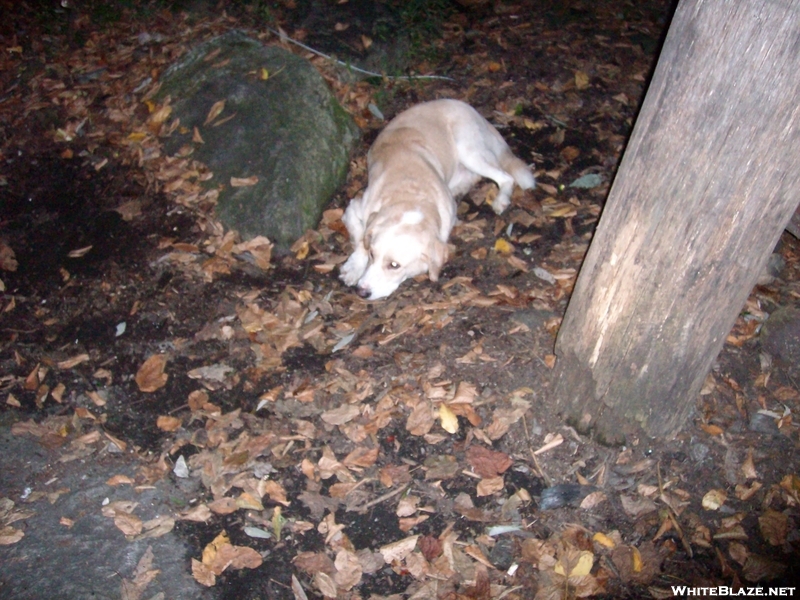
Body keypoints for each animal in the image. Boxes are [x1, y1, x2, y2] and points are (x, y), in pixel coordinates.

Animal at [340, 98, 536, 300]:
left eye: (394, 265)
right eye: (372, 254)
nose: (361, 292)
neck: (410, 197)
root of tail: (469, 108)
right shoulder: (354, 209)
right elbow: (360, 238)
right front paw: (353, 267)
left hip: (468, 151)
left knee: (506, 177)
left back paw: (500, 199)